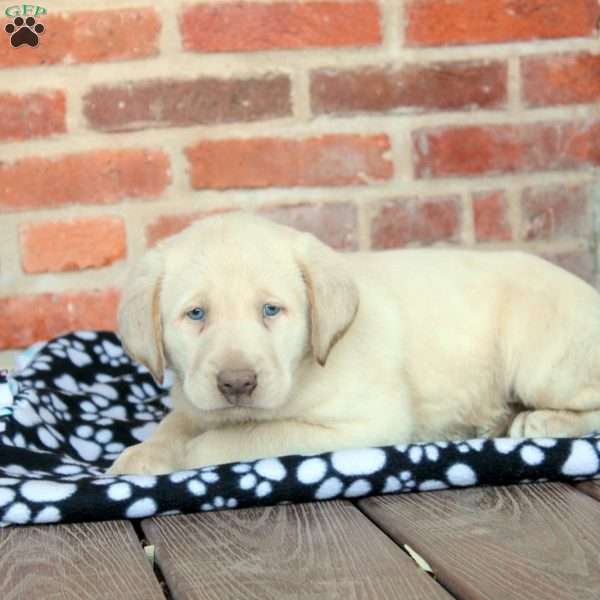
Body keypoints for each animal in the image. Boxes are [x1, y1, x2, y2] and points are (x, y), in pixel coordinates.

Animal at [110, 213, 600, 476]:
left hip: (542, 364)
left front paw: (187, 457)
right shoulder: (196, 401)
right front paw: (140, 455)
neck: (303, 367)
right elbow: (174, 423)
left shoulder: (365, 423)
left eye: (271, 310)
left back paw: (540, 422)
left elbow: (246, 437)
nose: (236, 383)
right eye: (196, 314)